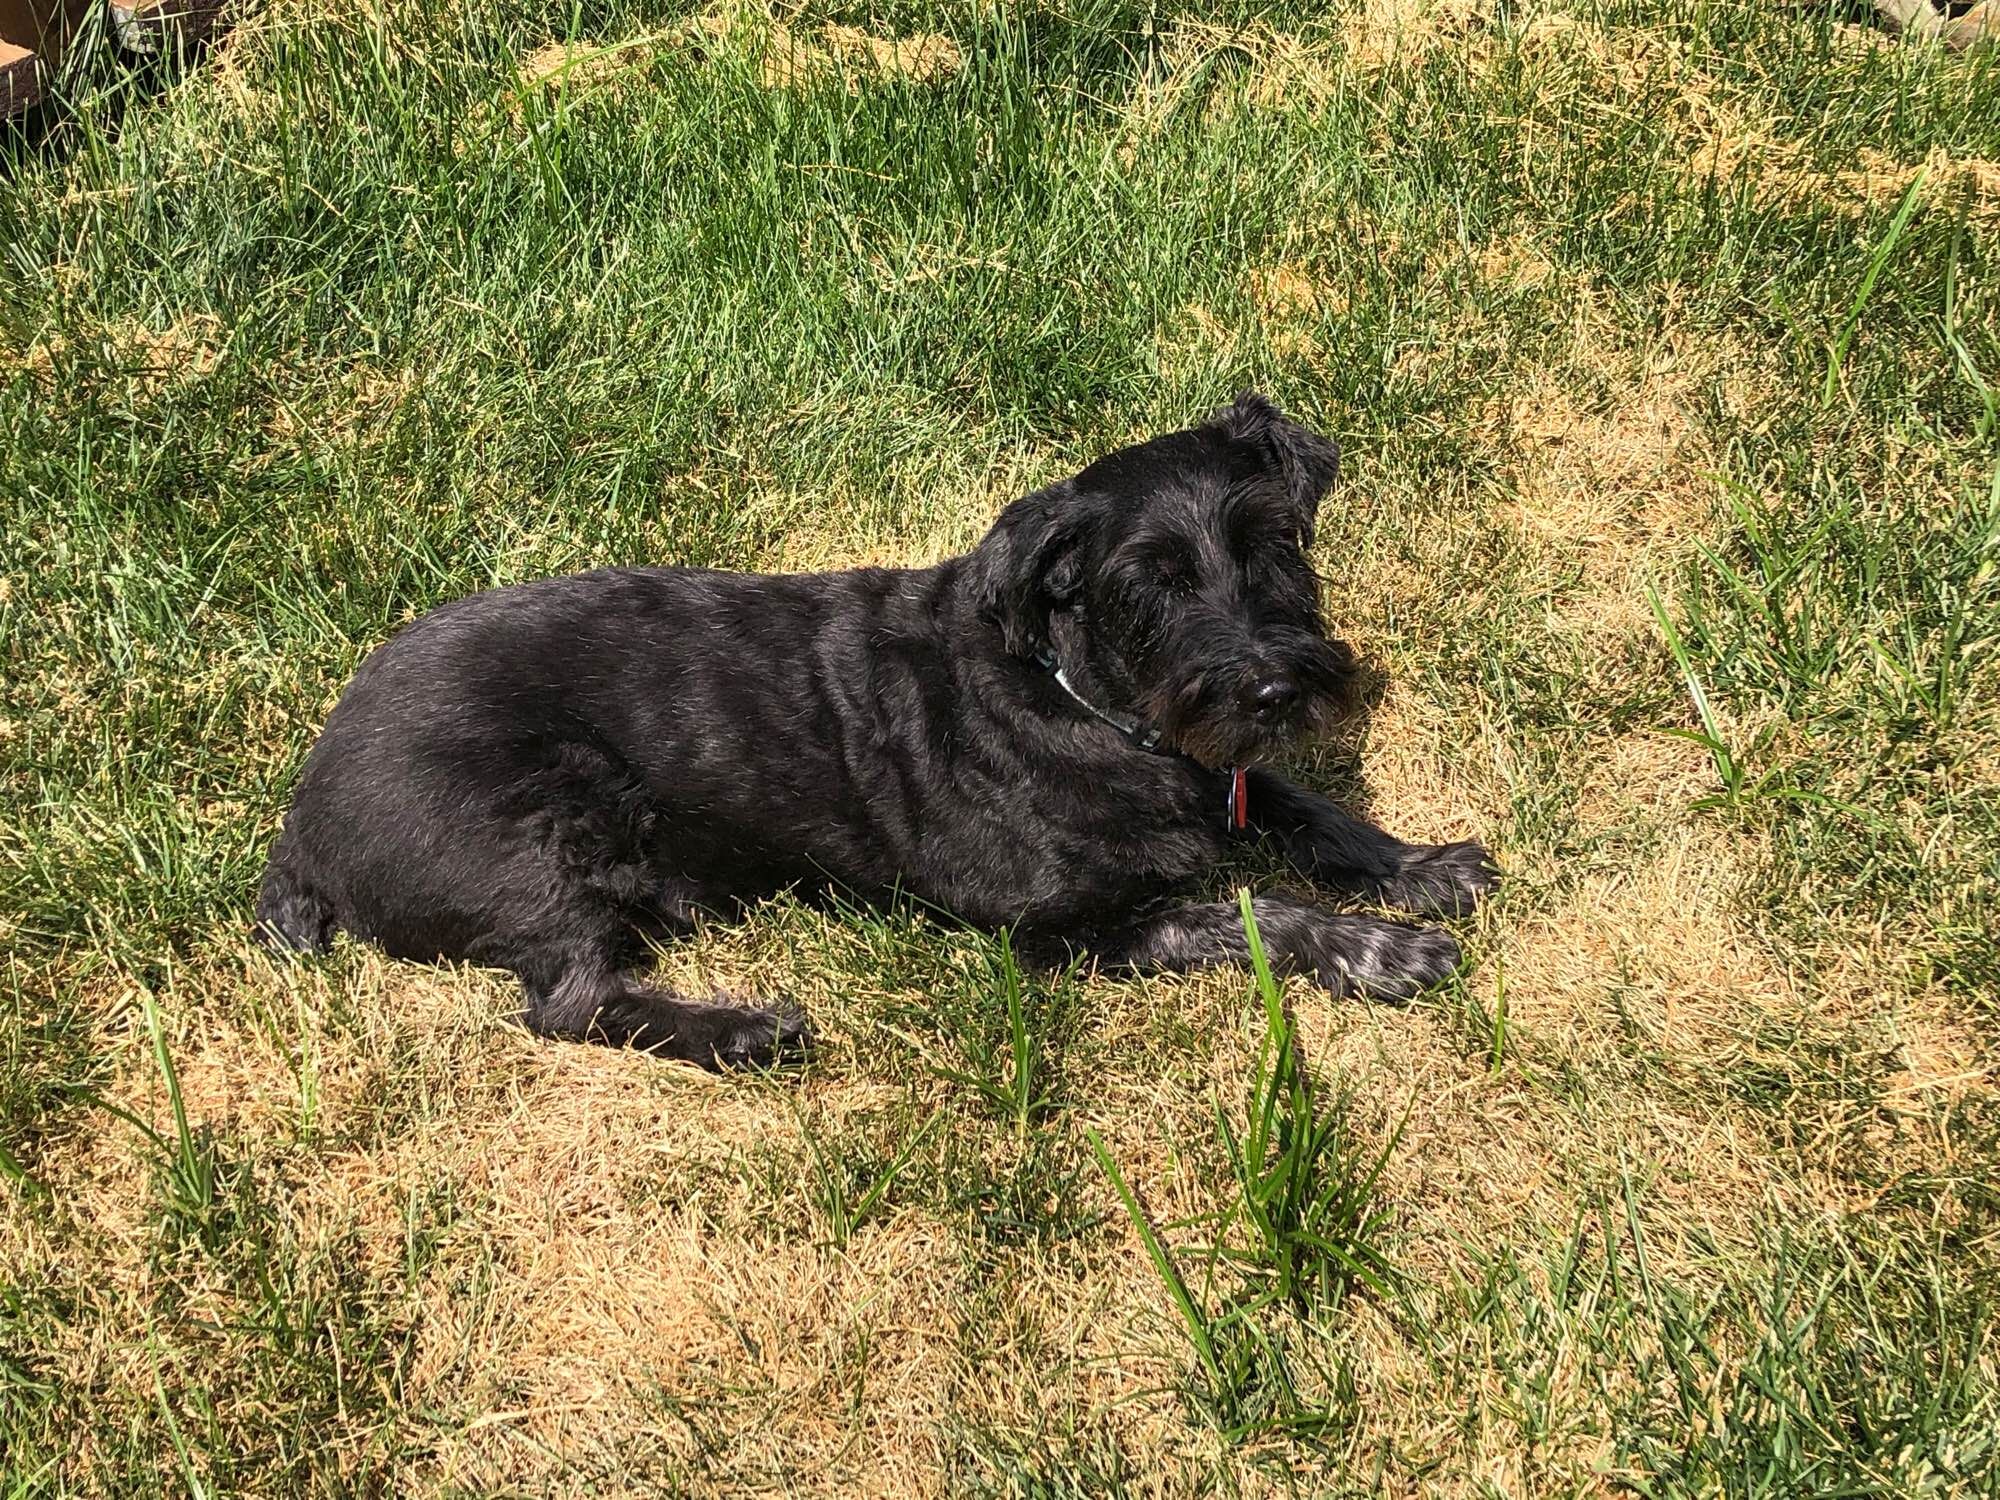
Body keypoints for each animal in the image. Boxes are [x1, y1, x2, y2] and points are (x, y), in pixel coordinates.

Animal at [258, 400, 1496, 1072]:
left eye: (1273, 539)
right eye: (1146, 581)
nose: (1278, 688)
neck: (1076, 698)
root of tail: (300, 827)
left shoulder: (1223, 772)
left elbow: (1303, 810)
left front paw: (1417, 866)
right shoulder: (1061, 934)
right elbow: (1249, 909)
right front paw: (1376, 949)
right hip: (550, 824)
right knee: (568, 1003)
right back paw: (738, 1035)